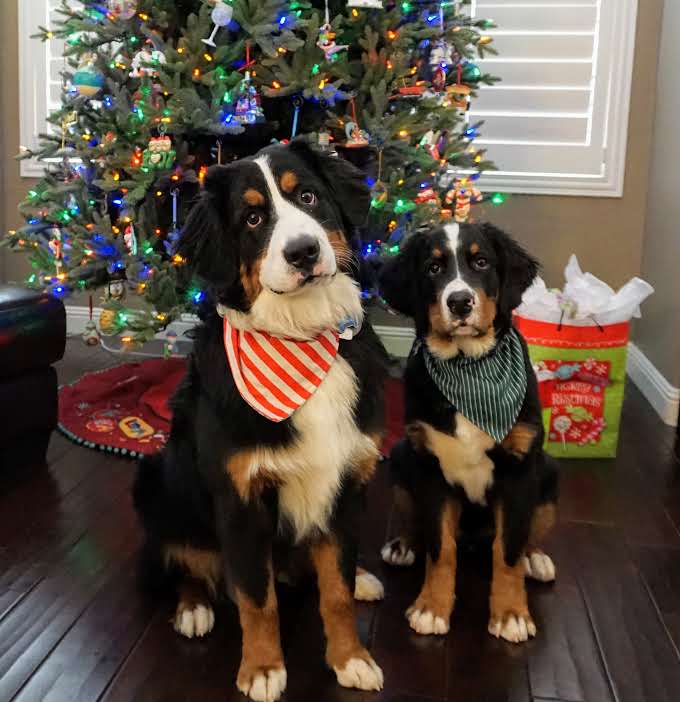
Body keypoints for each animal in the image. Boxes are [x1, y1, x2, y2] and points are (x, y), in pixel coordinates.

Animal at [133, 139, 388, 701]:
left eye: (308, 196)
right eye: (252, 218)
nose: (304, 252)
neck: (301, 335)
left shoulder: (344, 482)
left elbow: (335, 590)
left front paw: (351, 658)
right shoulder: (241, 499)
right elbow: (256, 598)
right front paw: (263, 669)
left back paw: (362, 577)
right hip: (155, 481)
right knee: (178, 560)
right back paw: (194, 608)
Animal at [378, 222, 558, 643]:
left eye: (481, 262)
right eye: (432, 268)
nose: (460, 302)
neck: (468, 366)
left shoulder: (519, 470)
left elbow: (508, 550)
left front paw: (511, 614)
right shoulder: (430, 468)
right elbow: (440, 547)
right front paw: (431, 607)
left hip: (547, 470)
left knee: (527, 534)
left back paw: (536, 558)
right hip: (402, 456)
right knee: (418, 526)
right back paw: (403, 545)